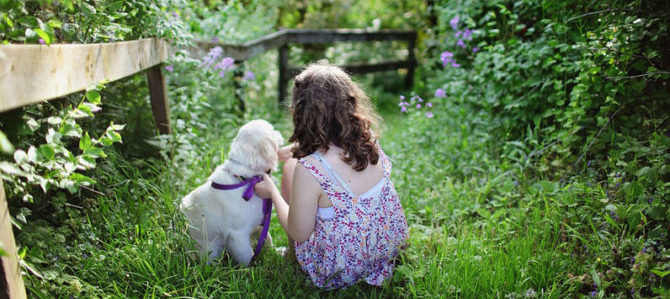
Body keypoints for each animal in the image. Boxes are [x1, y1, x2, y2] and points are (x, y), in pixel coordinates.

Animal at [180, 119, 282, 264]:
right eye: (272, 130)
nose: (279, 133)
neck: (246, 179)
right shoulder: (238, 234)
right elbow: (247, 255)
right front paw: (252, 268)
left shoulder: (260, 223)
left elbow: (268, 239)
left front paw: (276, 253)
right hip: (211, 250)